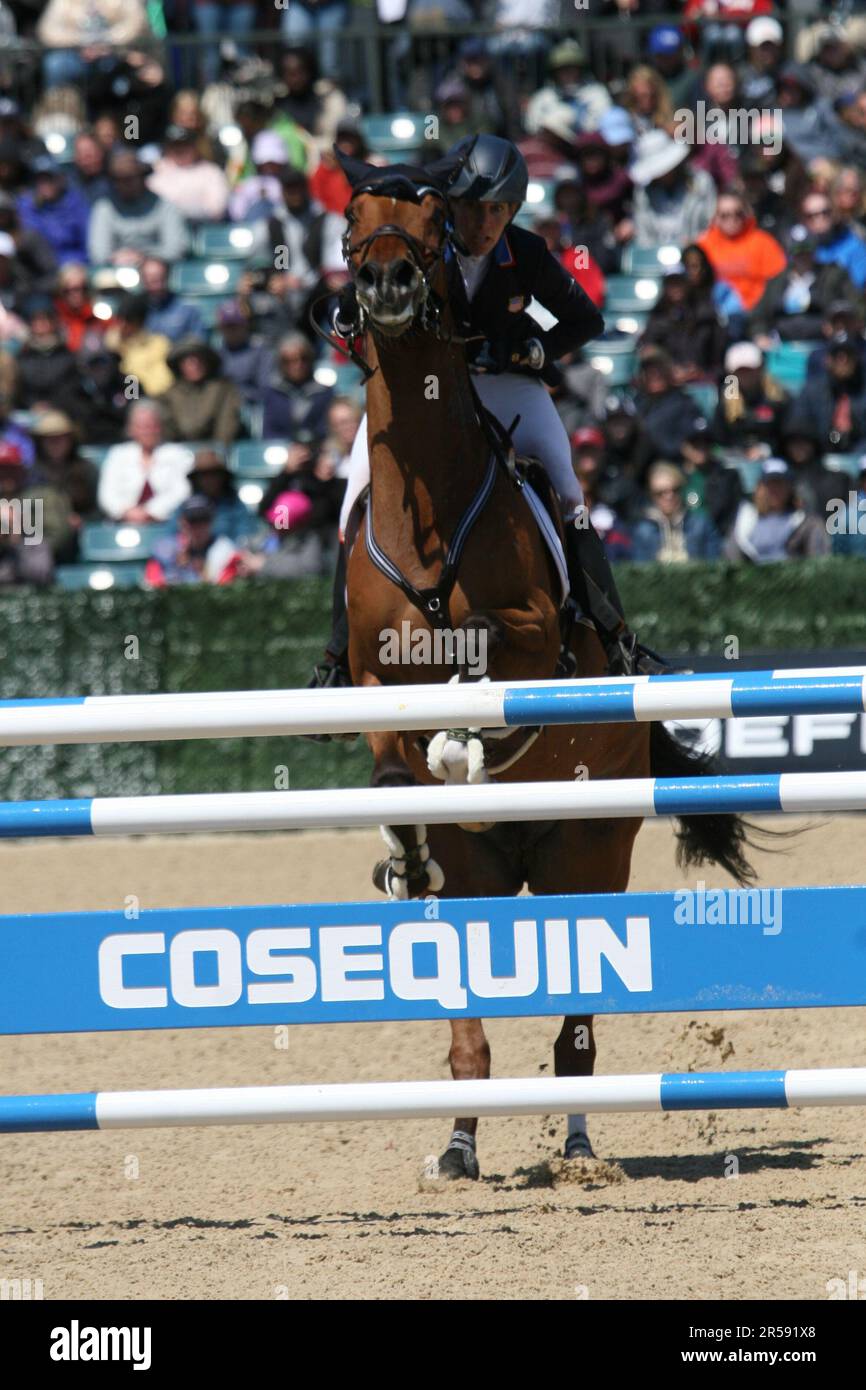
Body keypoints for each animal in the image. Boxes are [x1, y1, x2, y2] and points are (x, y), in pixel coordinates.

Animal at [335, 161, 758, 1178]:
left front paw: (461, 739)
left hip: (587, 853)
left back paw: (577, 1148)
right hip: (482, 872)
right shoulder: (370, 678)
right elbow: (391, 768)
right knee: (469, 1024)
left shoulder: (531, 633)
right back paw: (457, 1149)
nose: (386, 285)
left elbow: (488, 656)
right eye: (351, 221)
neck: (426, 508)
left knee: (576, 1026)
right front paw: (403, 845)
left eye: (434, 231)